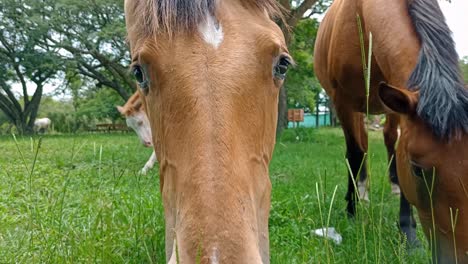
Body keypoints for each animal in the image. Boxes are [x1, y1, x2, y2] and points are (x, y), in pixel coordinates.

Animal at [314, 0, 468, 260]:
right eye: (417, 170)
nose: (458, 257)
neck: (361, 17)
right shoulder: (342, 102)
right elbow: (355, 153)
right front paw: (352, 210)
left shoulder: (398, 102)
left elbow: (397, 149)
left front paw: (408, 232)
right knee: (360, 147)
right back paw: (361, 192)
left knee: (386, 140)